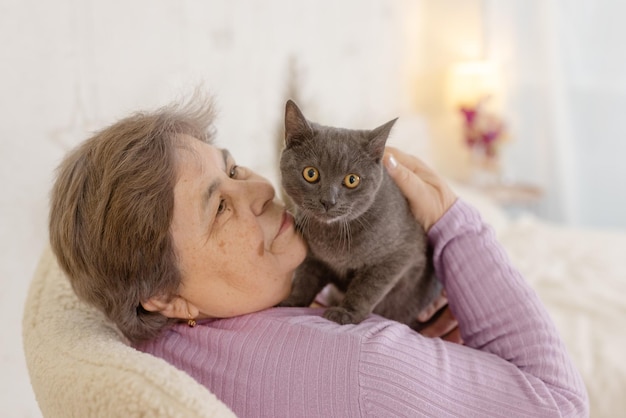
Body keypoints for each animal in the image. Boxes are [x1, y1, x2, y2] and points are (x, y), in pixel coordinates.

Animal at [278, 100, 438, 330]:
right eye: (310, 173)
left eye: (352, 179)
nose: (328, 201)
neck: (331, 238)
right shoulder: (313, 257)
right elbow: (305, 278)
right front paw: (292, 301)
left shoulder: (397, 256)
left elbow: (366, 288)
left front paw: (346, 313)